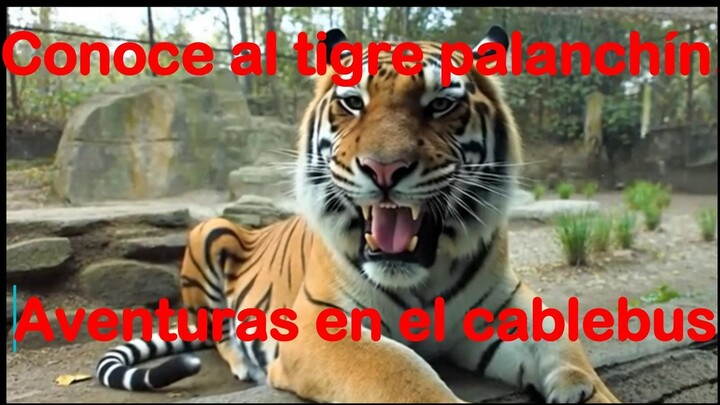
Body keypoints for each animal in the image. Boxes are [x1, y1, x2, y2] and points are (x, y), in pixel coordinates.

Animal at [94, 26, 620, 403]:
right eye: (352, 102)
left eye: (440, 104)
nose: (384, 168)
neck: (423, 273)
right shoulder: (321, 327)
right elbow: (402, 373)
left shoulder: (507, 310)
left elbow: (568, 353)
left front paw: (585, 390)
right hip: (210, 230)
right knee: (217, 328)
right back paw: (244, 361)